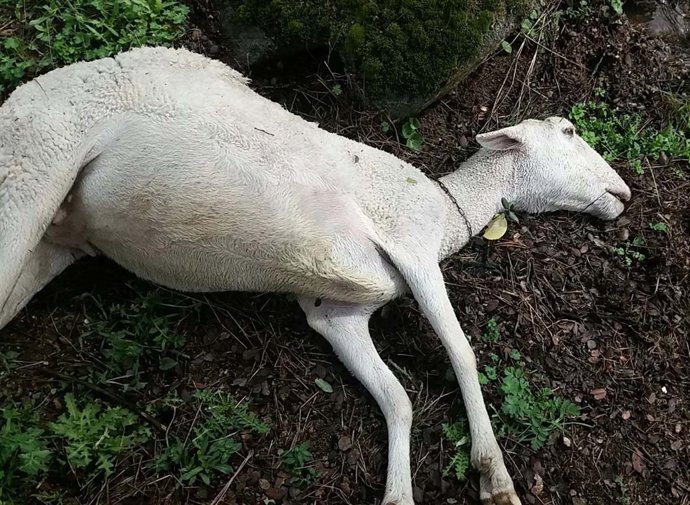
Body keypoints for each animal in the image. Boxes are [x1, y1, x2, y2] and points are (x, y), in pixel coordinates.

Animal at [0, 47, 631, 505]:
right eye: (570, 131)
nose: (624, 193)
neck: (447, 210)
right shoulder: (413, 248)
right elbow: (461, 351)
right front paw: (494, 476)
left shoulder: (337, 315)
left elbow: (397, 399)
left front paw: (398, 495)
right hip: (34, 166)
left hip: (53, 240)